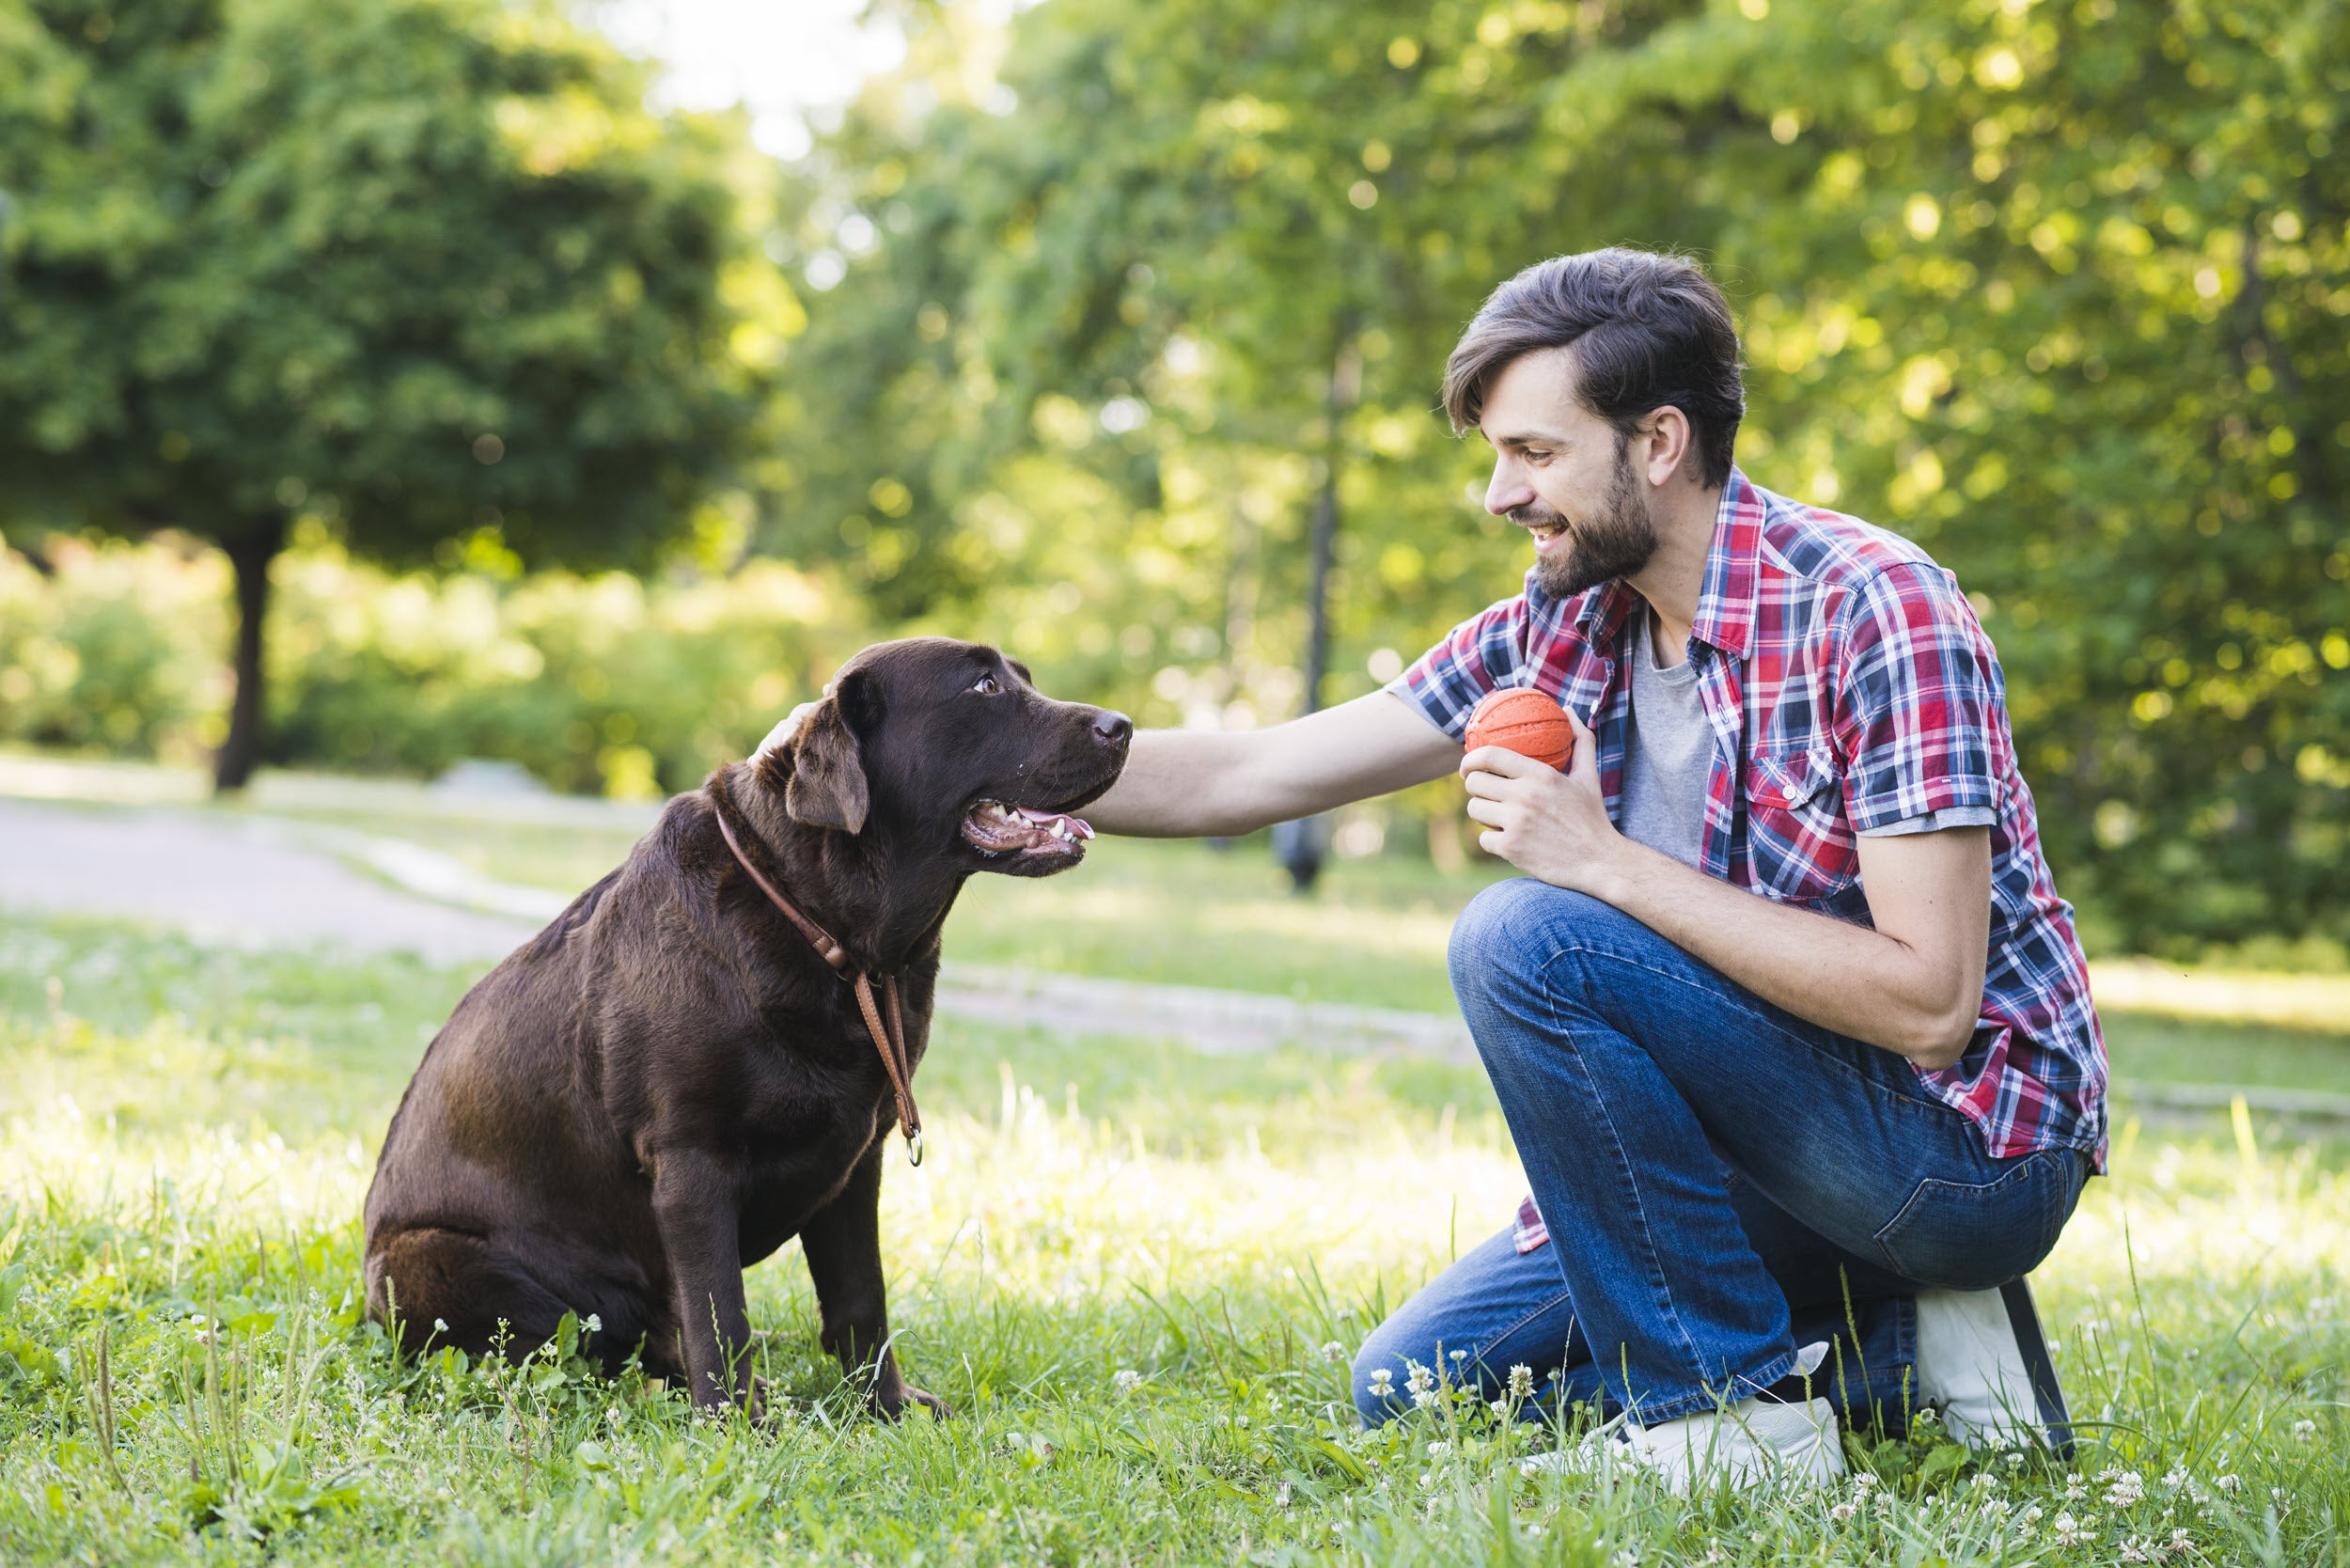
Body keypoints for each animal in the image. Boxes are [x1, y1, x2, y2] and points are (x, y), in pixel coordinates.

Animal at [362, 639, 1133, 1419]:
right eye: (983, 686)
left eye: (1024, 679)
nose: (1122, 726)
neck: (827, 929)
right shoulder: (691, 1161)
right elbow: (718, 1310)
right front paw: (736, 1424)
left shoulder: (860, 1157)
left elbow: (861, 1298)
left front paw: (884, 1408)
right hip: (436, 1261)